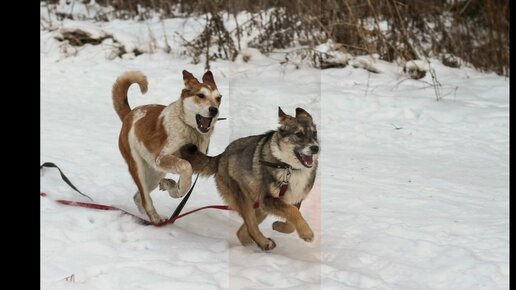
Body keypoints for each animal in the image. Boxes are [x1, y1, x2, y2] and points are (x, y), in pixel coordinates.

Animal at [112, 70, 221, 224]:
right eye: (201, 95)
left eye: (218, 98)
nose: (214, 110)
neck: (190, 130)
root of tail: (129, 114)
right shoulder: (163, 158)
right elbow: (185, 168)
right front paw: (174, 187)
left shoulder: (193, 162)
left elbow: (183, 185)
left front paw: (170, 186)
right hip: (139, 168)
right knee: (145, 198)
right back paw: (155, 218)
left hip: (155, 173)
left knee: (138, 197)